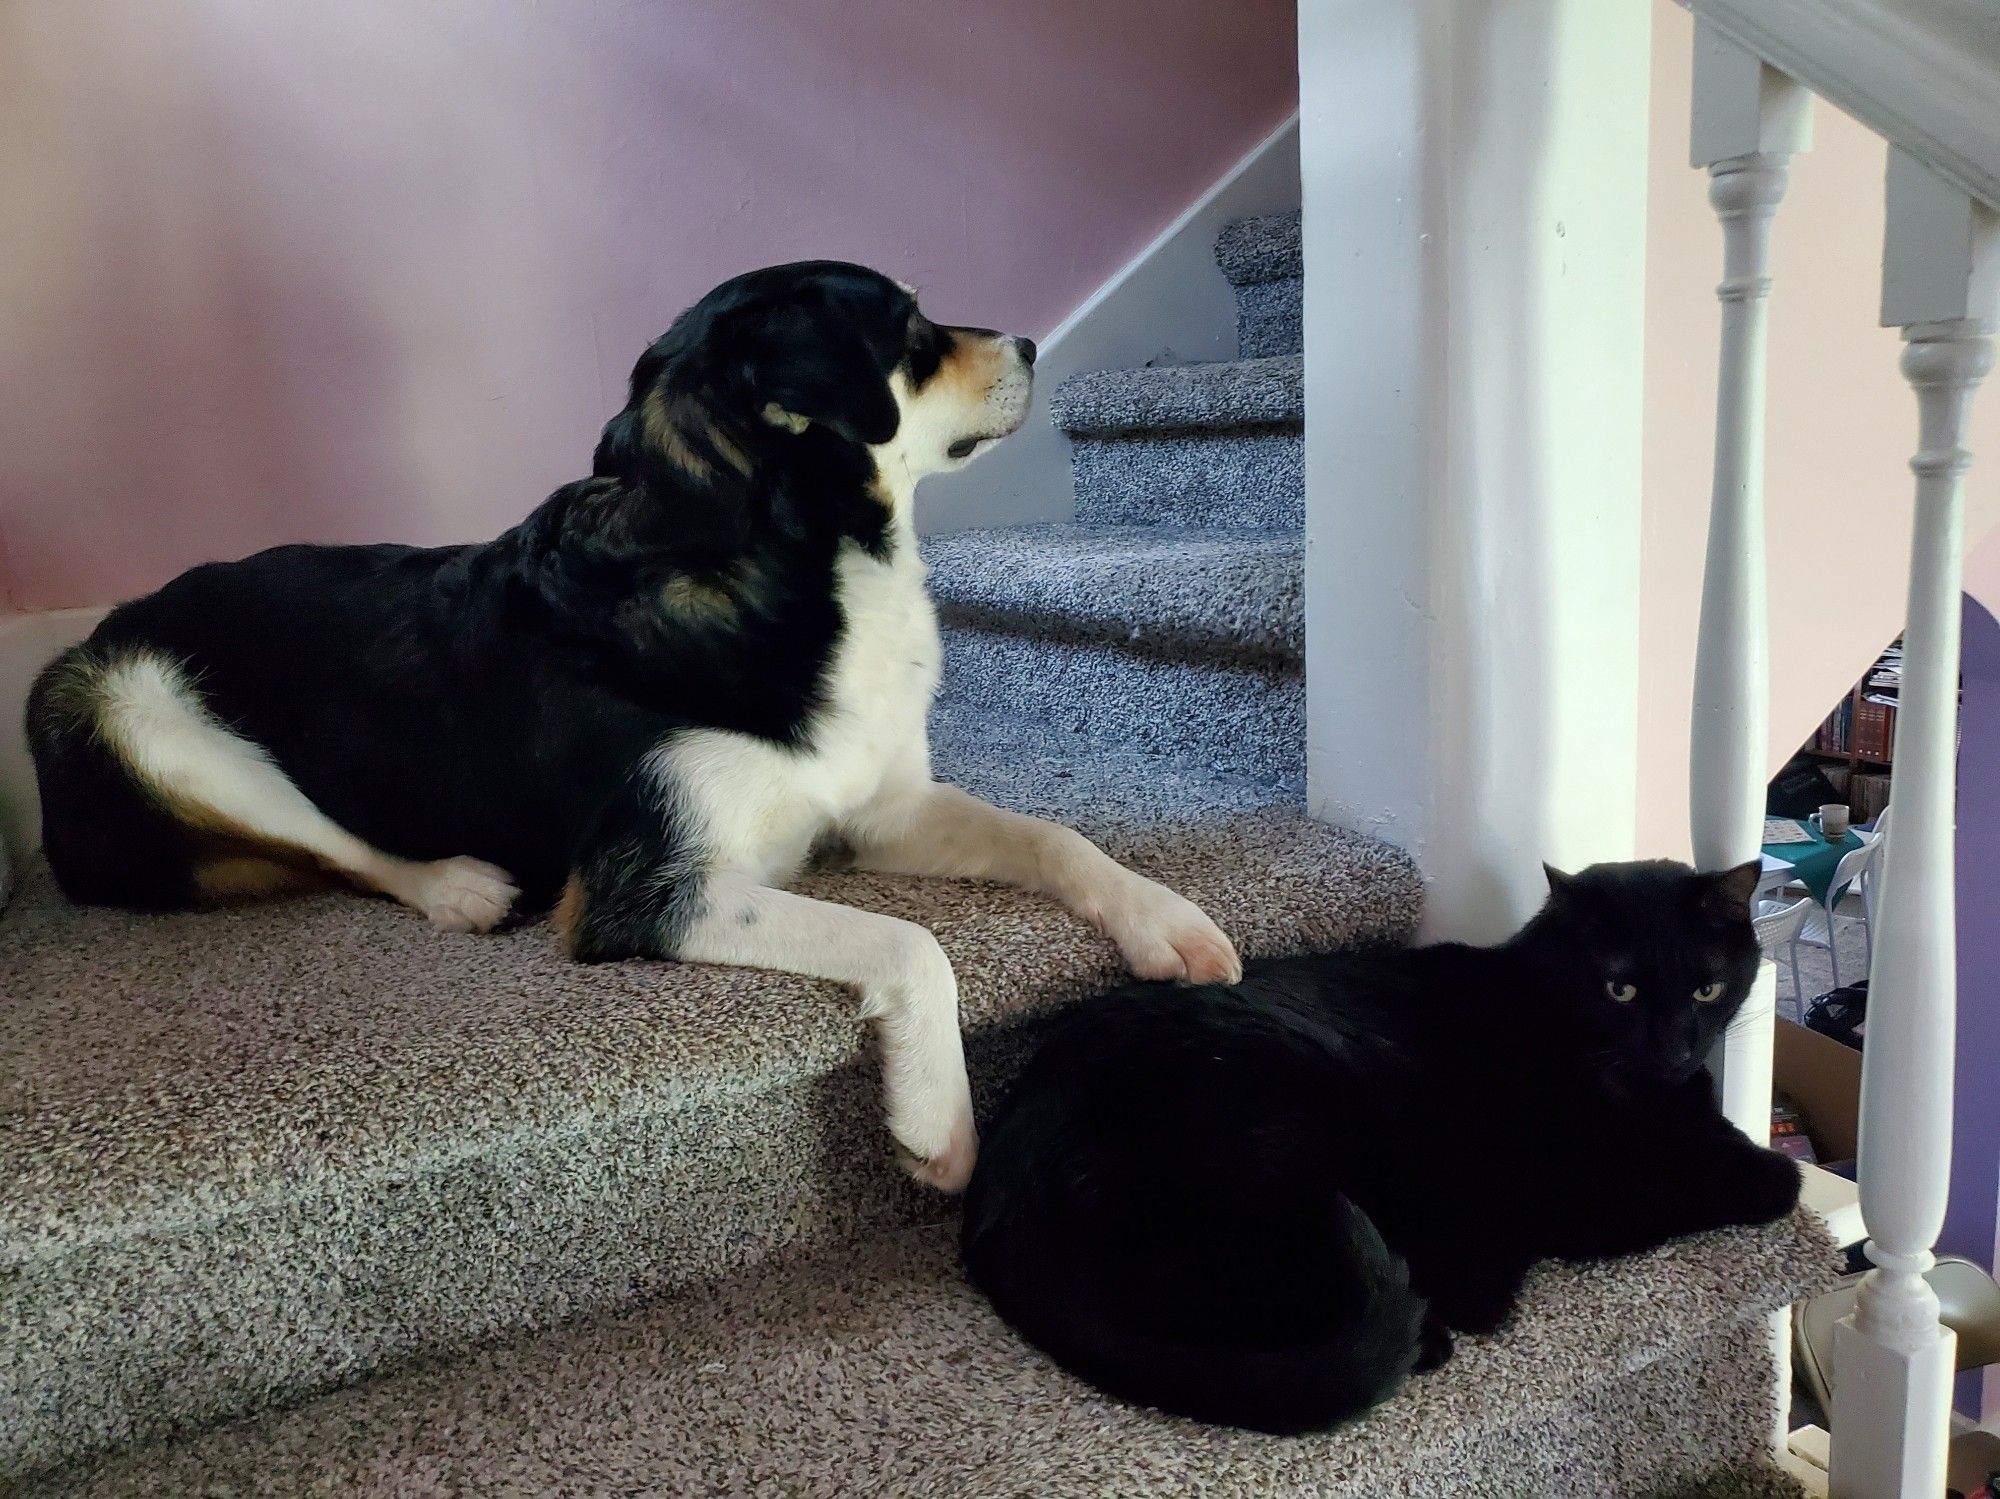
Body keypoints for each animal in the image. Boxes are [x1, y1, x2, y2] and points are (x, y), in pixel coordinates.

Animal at [31, 261, 1240, 1199]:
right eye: (908, 334)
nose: (1031, 342)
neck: (778, 560)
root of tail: (119, 615)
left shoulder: (880, 803)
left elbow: (1055, 836)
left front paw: (1164, 921)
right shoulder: (642, 887)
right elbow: (910, 939)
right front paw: (937, 1116)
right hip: (131, 706)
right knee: (334, 844)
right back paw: (454, 885)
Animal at [960, 855, 1808, 1431]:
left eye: (1706, 988)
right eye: (1621, 989)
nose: (1675, 1048)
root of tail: (999, 1202)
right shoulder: (1586, 1188)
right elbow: (1762, 1178)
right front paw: (1771, 1168)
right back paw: (1443, 1320)